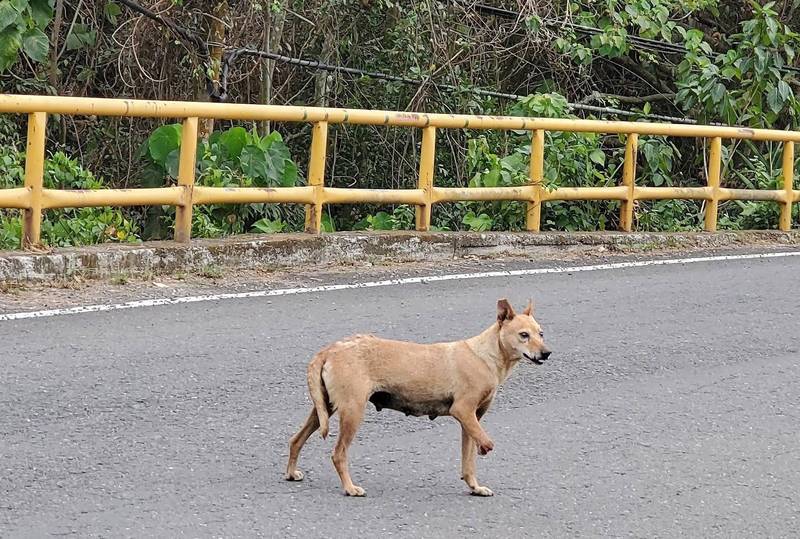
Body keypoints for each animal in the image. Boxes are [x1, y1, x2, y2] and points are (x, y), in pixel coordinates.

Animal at [282, 300, 552, 498]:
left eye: (541, 333)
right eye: (524, 335)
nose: (547, 353)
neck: (485, 354)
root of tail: (330, 349)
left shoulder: (471, 420)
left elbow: (468, 460)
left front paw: (474, 486)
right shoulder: (463, 411)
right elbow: (484, 444)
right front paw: (484, 450)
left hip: (324, 408)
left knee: (296, 440)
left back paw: (291, 473)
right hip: (353, 410)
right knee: (338, 454)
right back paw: (350, 488)